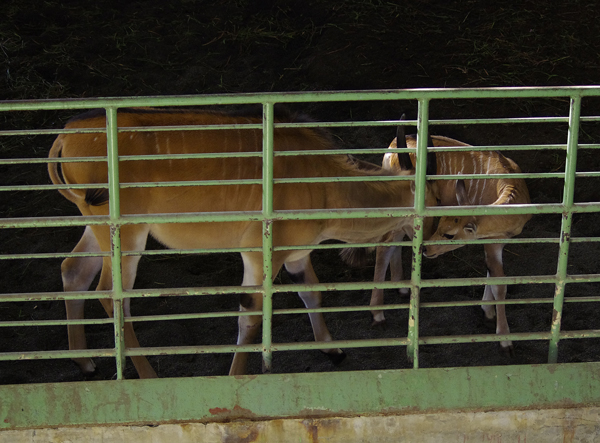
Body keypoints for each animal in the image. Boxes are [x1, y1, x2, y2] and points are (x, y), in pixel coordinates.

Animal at [49, 107, 436, 378]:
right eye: (432, 199)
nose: (435, 238)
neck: (325, 182)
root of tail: (67, 136)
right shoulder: (260, 255)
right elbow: (249, 316)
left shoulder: (295, 256)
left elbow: (311, 292)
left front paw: (333, 350)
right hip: (127, 235)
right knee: (111, 295)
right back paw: (147, 375)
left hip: (97, 227)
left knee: (73, 271)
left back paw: (84, 364)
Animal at [346, 128, 528, 354]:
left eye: (448, 233)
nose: (427, 249)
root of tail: (392, 147)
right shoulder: (491, 241)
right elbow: (500, 284)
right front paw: (504, 339)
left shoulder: (496, 241)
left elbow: (491, 273)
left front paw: (487, 311)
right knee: (385, 245)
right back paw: (378, 313)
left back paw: (401, 288)